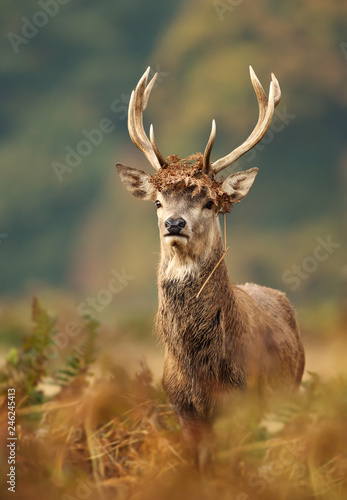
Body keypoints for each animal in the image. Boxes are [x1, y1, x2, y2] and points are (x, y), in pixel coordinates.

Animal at [116, 66, 304, 468]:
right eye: (158, 201)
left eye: (209, 202)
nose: (175, 223)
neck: (200, 370)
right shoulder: (182, 406)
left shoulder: (245, 399)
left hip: (290, 388)